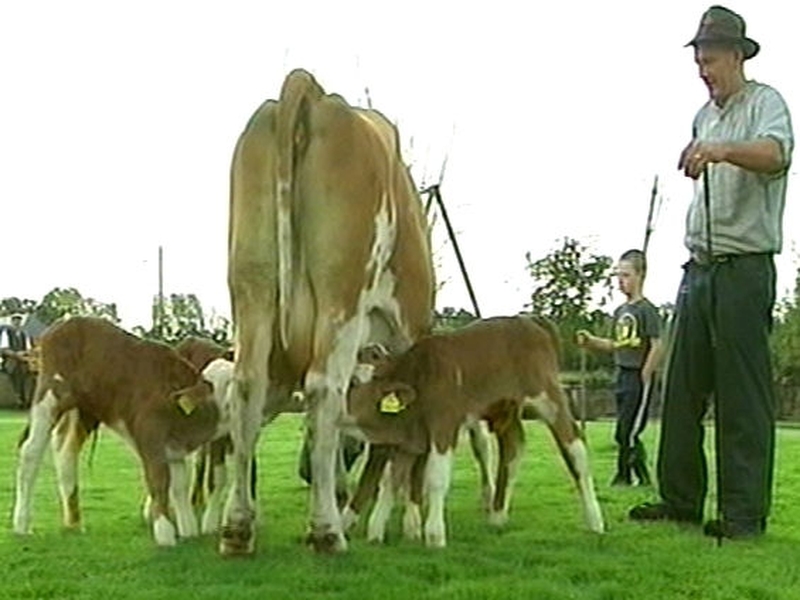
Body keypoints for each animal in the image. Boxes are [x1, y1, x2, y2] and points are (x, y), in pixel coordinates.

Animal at [12, 317, 224, 547]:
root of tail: (65, 322)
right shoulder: (149, 434)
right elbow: (160, 478)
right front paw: (165, 534)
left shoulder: (174, 444)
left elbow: (180, 482)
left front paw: (188, 529)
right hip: (50, 394)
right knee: (30, 450)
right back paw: (22, 525)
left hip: (86, 409)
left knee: (66, 450)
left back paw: (74, 523)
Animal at [222, 68, 435, 554]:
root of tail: (315, 94)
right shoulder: (410, 332)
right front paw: (412, 520)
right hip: (343, 293)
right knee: (322, 390)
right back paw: (326, 530)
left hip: (252, 287)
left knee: (248, 388)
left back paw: (238, 527)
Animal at [341, 316, 606, 548]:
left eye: (356, 386)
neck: (419, 374)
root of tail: (529, 319)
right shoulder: (408, 437)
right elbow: (392, 479)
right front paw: (376, 533)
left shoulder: (444, 424)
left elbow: (436, 477)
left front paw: (435, 536)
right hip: (507, 408)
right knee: (513, 447)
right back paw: (497, 517)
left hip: (549, 398)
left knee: (575, 447)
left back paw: (595, 521)